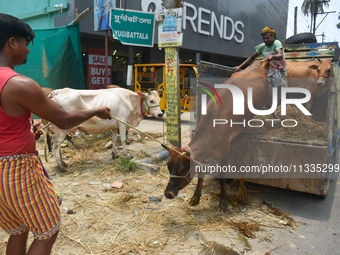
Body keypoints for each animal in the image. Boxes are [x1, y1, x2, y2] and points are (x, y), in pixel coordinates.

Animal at [163, 59, 270, 211]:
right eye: (168, 167)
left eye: (183, 170)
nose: (168, 193)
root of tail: (258, 63)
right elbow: (201, 173)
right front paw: (195, 197)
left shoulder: (225, 152)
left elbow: (221, 176)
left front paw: (223, 201)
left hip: (267, 95)